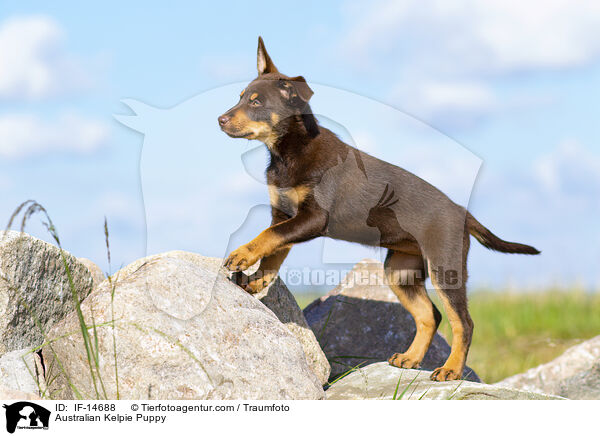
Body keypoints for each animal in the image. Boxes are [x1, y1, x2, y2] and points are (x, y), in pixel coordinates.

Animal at [217, 35, 540, 380]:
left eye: (256, 103)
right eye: (240, 97)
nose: (220, 119)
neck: (288, 150)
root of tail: (463, 213)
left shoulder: (313, 218)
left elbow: (268, 237)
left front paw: (241, 255)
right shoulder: (285, 214)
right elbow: (274, 250)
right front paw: (256, 280)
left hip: (445, 267)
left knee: (462, 322)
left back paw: (450, 369)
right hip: (400, 270)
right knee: (430, 315)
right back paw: (410, 358)